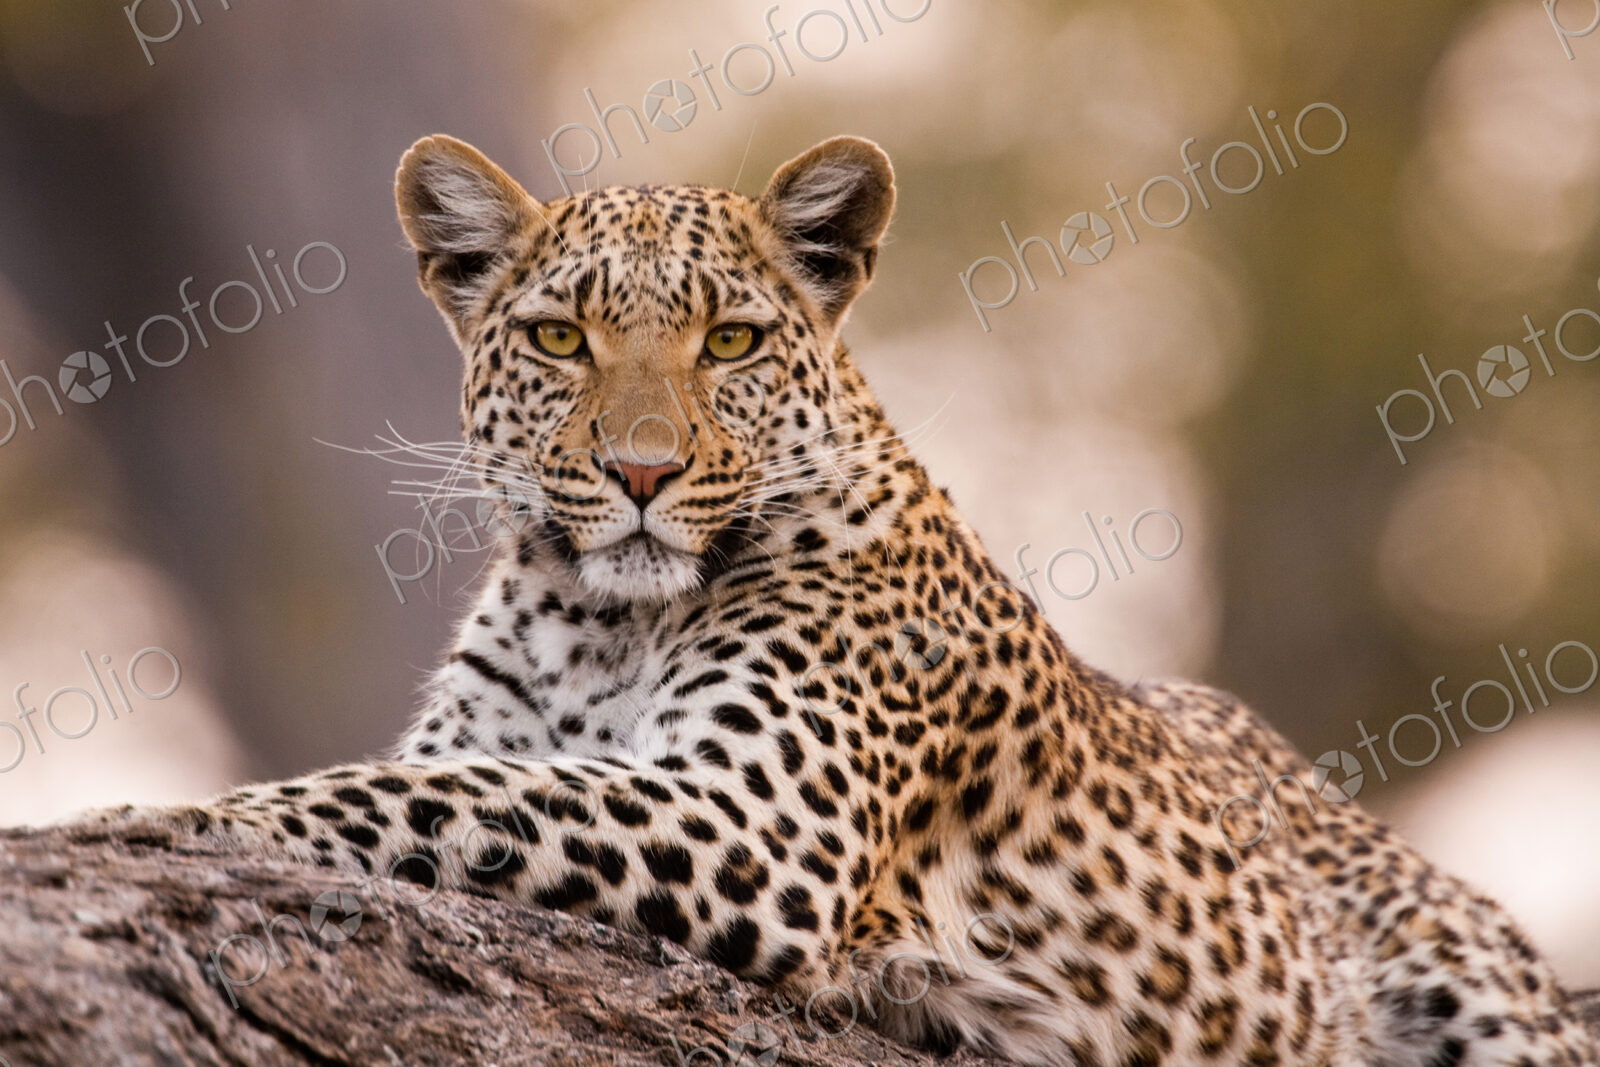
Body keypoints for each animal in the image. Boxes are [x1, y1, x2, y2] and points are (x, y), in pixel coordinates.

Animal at [68, 132, 1596, 1067]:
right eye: (559, 338)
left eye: (731, 340)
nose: (639, 471)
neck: (596, 620)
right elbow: (445, 773)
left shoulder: (758, 822)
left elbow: (423, 795)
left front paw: (149, 819)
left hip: (1480, 992)